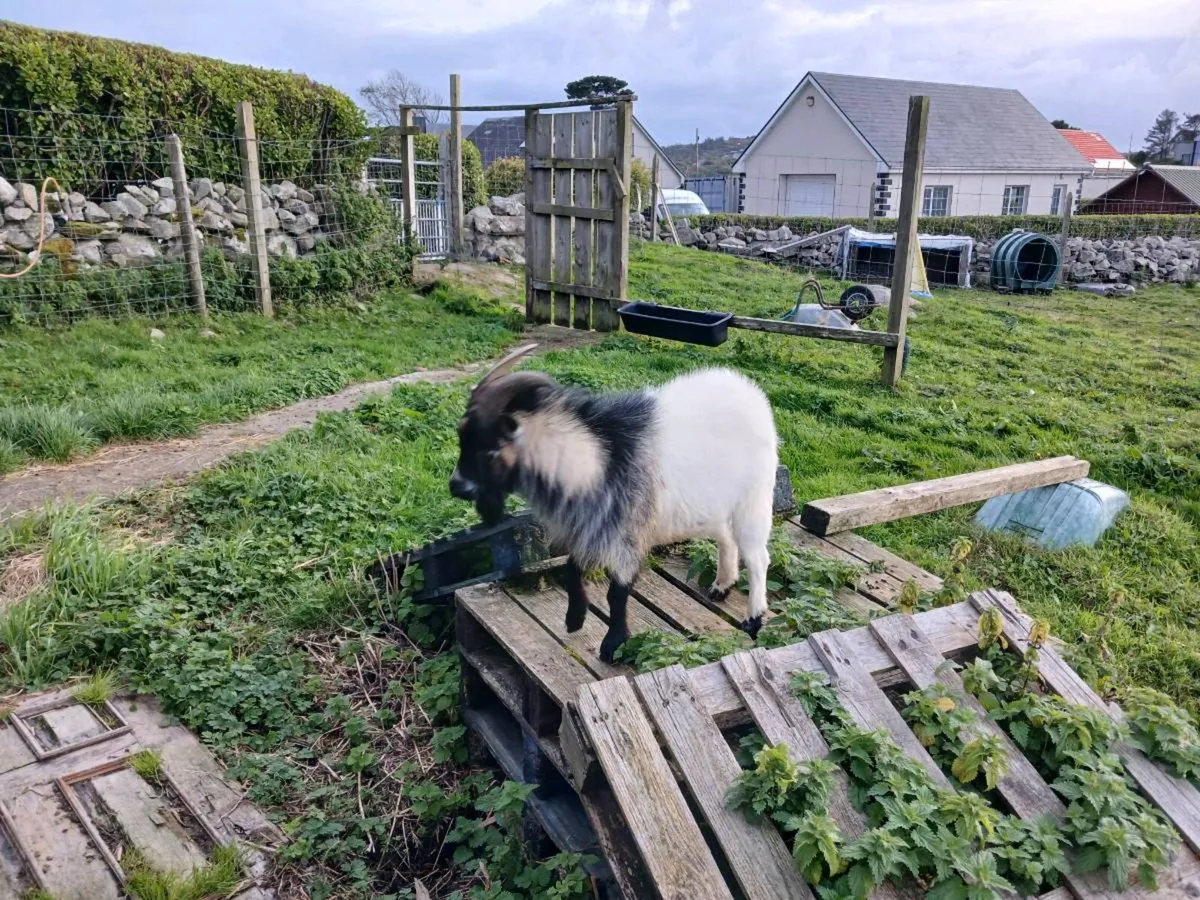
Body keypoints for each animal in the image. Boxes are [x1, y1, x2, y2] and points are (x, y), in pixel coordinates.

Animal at [449, 344, 778, 662]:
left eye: (490, 450)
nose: (455, 486)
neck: (594, 460)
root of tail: (750, 392)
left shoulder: (626, 534)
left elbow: (616, 594)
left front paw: (612, 645)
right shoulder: (589, 528)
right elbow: (571, 570)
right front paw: (574, 619)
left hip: (754, 497)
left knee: (757, 557)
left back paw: (754, 619)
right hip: (713, 504)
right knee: (726, 537)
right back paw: (722, 585)